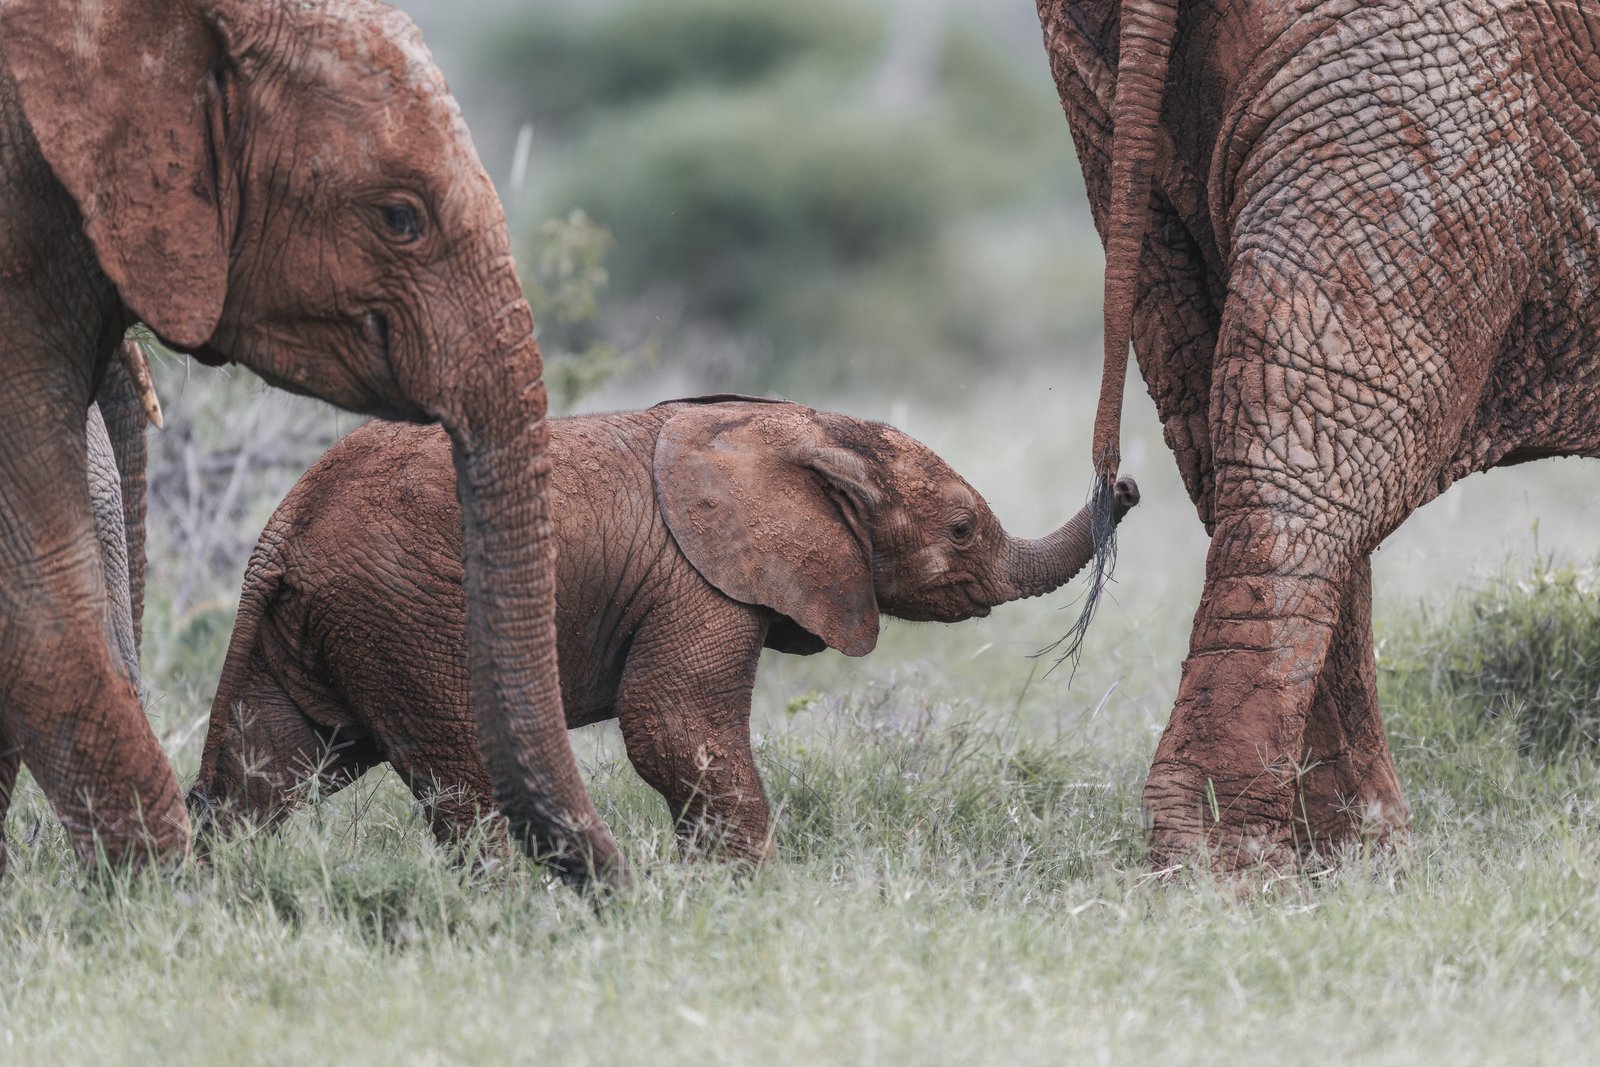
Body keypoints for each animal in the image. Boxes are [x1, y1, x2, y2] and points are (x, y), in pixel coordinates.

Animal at [186, 397, 1139, 861]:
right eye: (962, 531)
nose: (1125, 485)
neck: (801, 428)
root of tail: (286, 524)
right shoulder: (697, 579)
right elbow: (671, 723)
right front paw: (747, 892)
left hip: (322, 623)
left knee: (268, 770)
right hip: (407, 612)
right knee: (464, 773)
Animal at [1036, 0, 1600, 871]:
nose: (1124, 490)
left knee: (1243, 435)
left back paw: (1354, 863)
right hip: (1409, 83)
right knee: (1310, 466)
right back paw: (1232, 870)